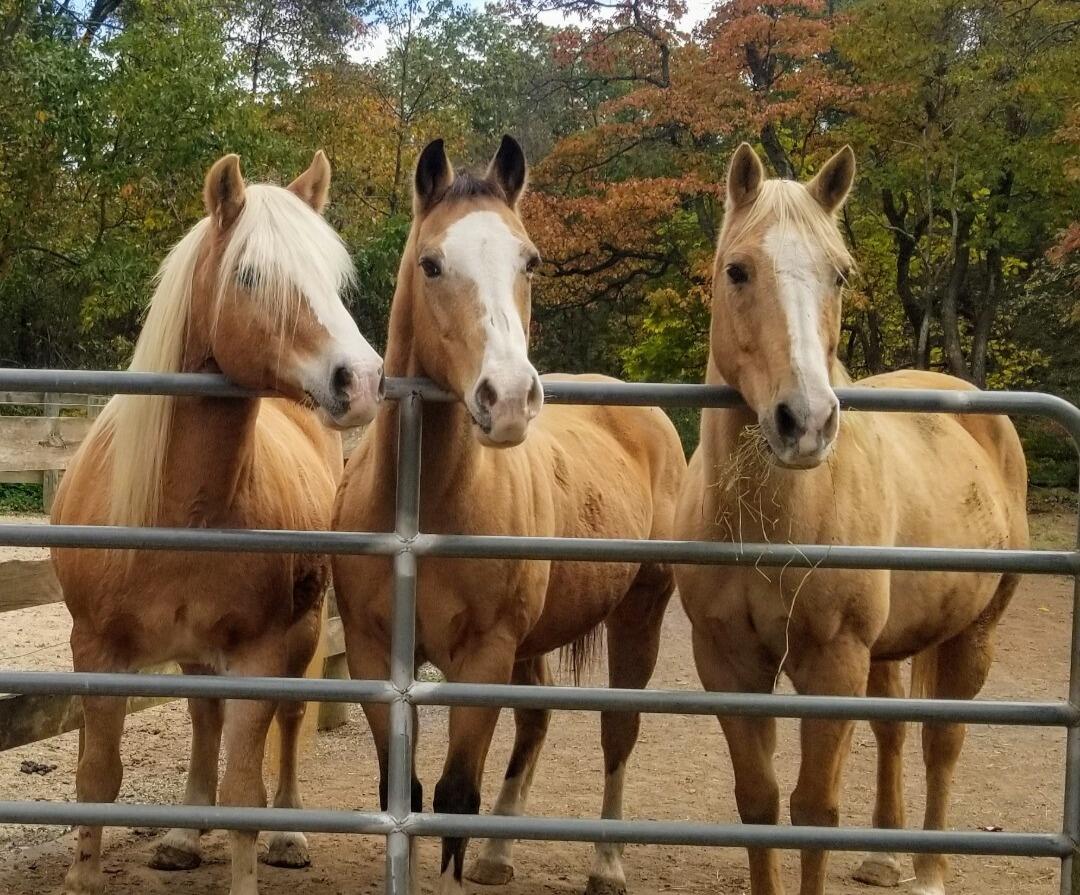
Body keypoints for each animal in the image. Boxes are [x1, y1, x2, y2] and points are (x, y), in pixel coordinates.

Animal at [51, 151, 384, 895]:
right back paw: (181, 835)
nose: (361, 380)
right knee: (204, 716)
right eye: (250, 274)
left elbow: (243, 790)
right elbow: (96, 778)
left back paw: (288, 832)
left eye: (334, 276)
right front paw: (85, 875)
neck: (177, 506)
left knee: (290, 721)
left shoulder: (259, 650)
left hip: (302, 630)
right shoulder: (95, 648)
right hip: (199, 648)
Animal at [332, 136, 687, 895]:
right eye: (432, 263)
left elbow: (453, 796)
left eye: (531, 261)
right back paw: (498, 854)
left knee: (619, 730)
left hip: (639, 610)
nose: (512, 398)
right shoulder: (377, 653)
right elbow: (401, 790)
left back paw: (606, 863)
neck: (427, 503)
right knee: (536, 721)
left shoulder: (483, 654)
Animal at [674, 142, 1028, 895]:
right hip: (889, 649)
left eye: (839, 274)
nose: (804, 422)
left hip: (973, 635)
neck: (772, 521)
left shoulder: (832, 662)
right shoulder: (728, 661)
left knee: (942, 744)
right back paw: (884, 856)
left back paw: (928, 870)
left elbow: (814, 807)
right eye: (737, 269)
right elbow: (758, 801)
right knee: (894, 731)